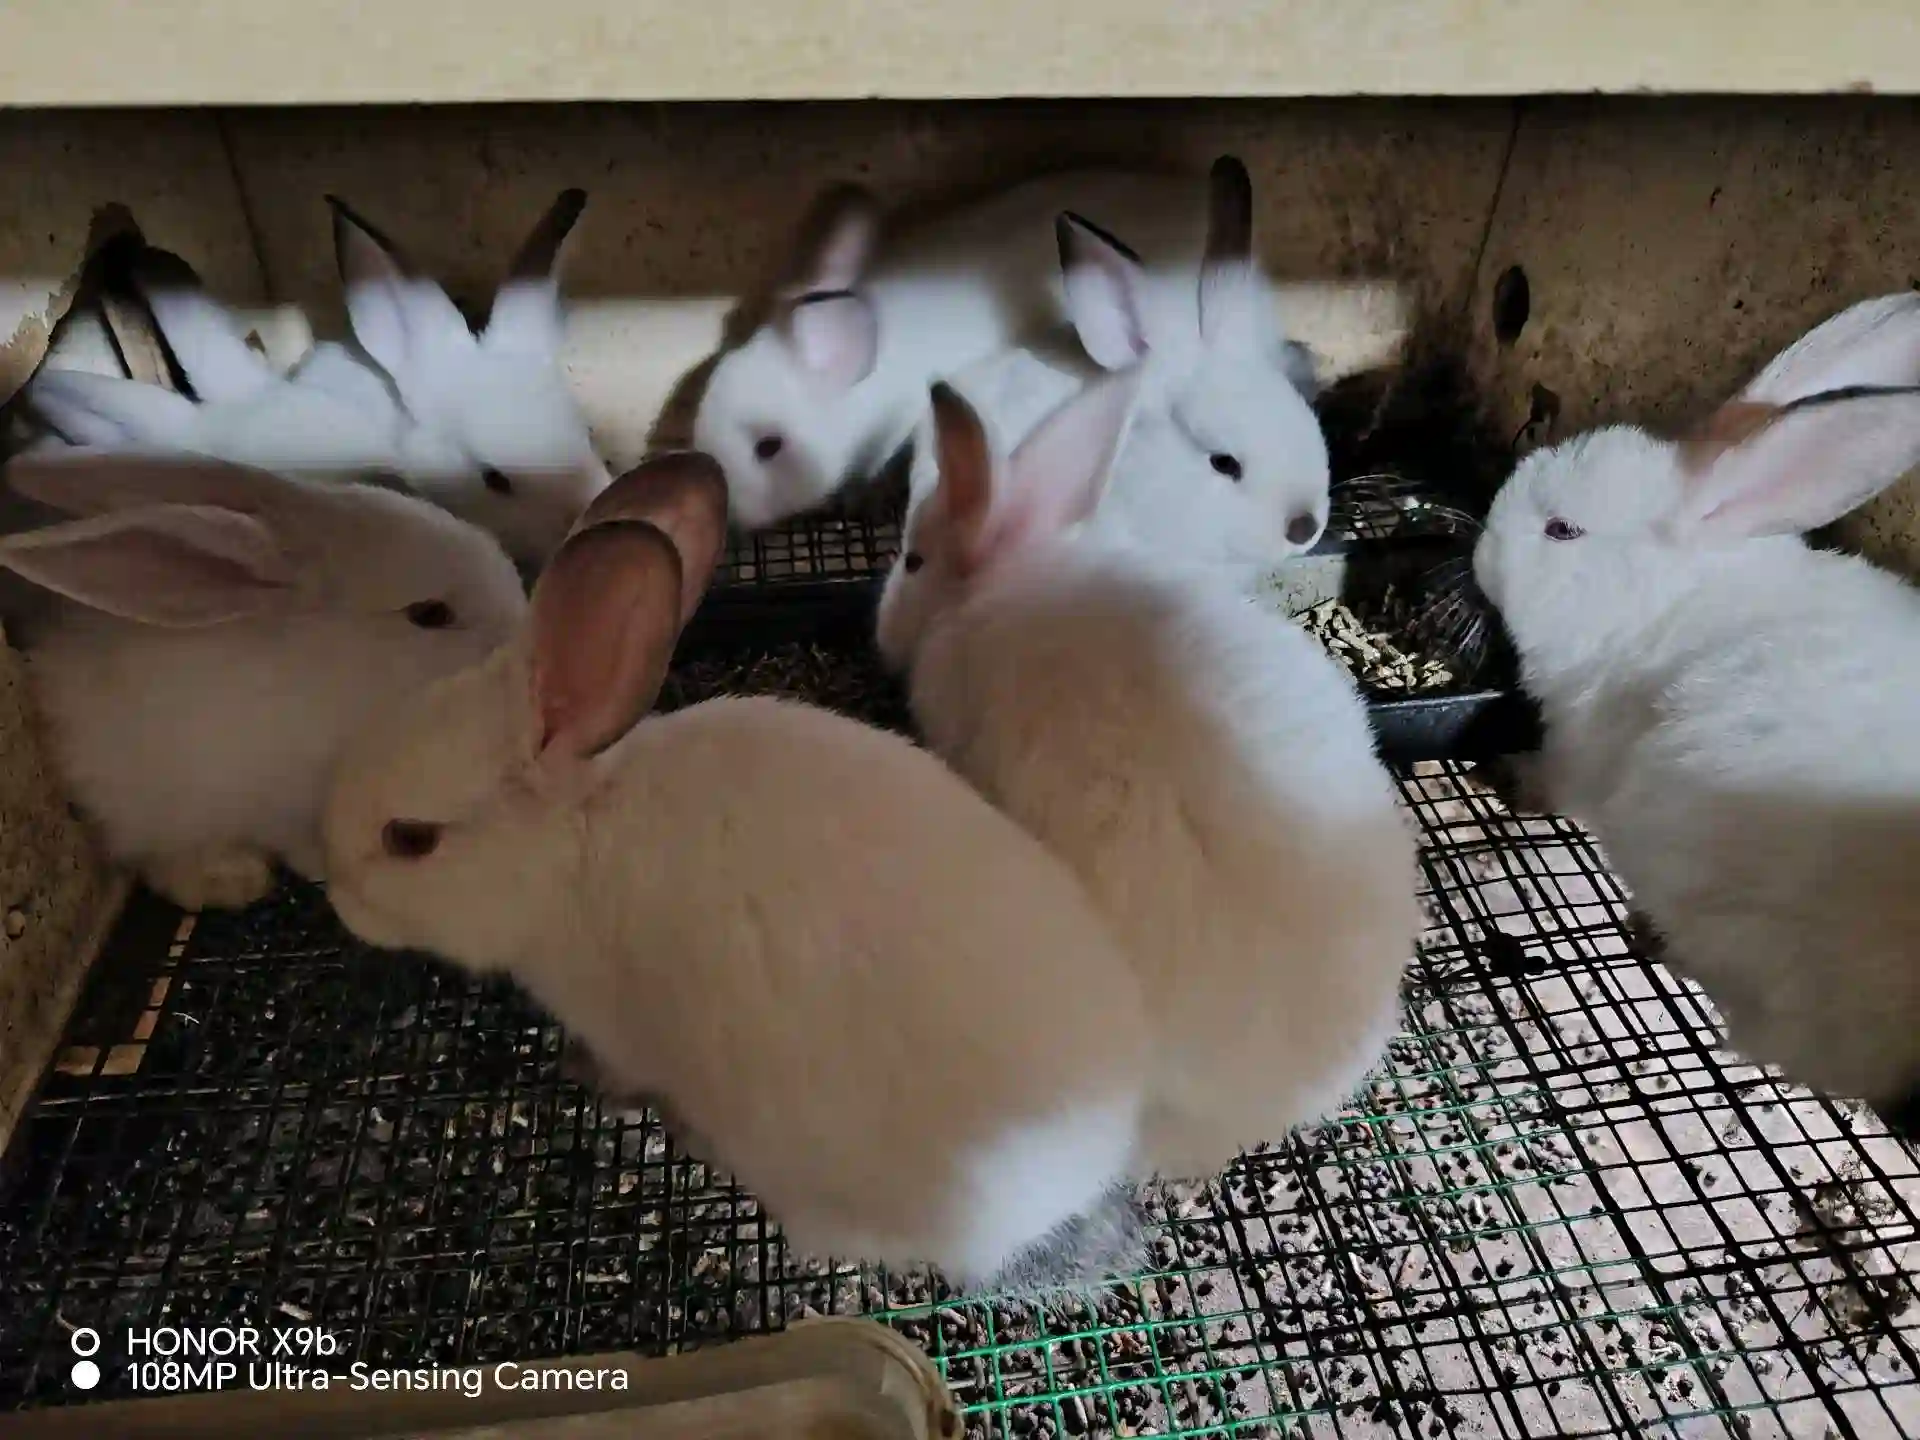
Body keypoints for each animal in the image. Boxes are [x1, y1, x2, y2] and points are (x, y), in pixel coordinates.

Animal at [1468, 288, 1920, 1137]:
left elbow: (1557, 783)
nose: (1481, 554)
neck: (1663, 597)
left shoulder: (1582, 747)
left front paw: (1509, 774)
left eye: (1562, 529)